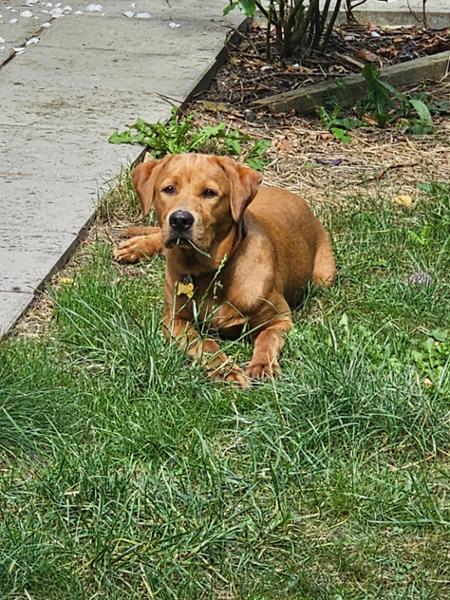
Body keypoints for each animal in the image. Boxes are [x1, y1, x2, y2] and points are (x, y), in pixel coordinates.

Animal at [115, 155, 334, 386]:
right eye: (169, 189)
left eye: (209, 192)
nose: (180, 219)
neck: (209, 272)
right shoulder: (173, 320)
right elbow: (203, 343)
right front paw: (225, 369)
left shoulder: (280, 318)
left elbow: (267, 338)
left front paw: (262, 364)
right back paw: (136, 246)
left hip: (323, 278)